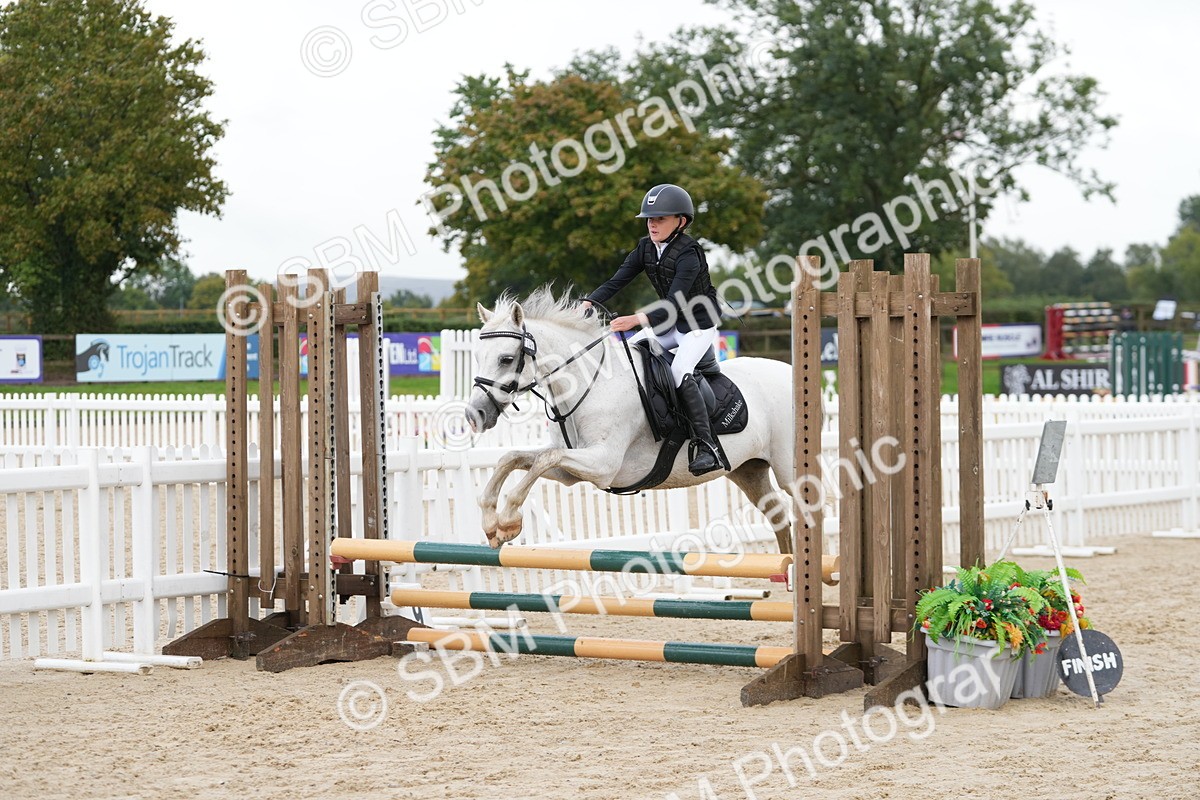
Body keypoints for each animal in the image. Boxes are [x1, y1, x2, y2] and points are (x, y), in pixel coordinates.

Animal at [465, 287, 800, 553]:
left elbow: (544, 459)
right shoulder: (571, 470)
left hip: (789, 473)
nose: (474, 414)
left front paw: (508, 521)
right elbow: (514, 458)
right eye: (477, 356)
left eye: (507, 359)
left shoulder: (603, 464)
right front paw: (492, 524)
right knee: (779, 516)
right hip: (748, 470)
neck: (591, 383)